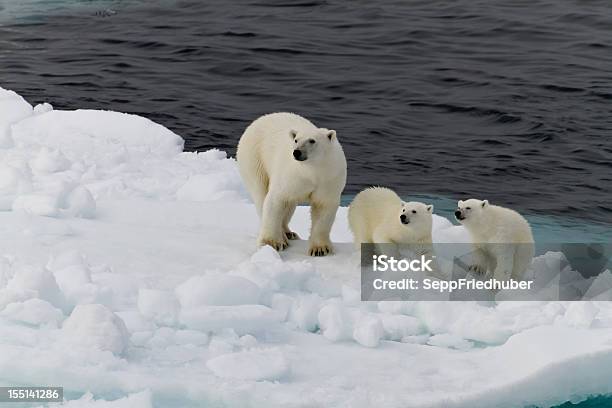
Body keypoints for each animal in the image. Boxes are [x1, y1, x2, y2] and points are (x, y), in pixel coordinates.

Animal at [237, 113, 346, 256]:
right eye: (296, 140)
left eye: (312, 140)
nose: (296, 152)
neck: (312, 171)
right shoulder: (291, 175)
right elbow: (276, 200)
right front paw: (271, 243)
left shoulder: (329, 178)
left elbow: (323, 207)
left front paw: (320, 249)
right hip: (254, 158)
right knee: (261, 195)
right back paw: (283, 235)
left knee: (289, 205)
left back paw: (289, 233)